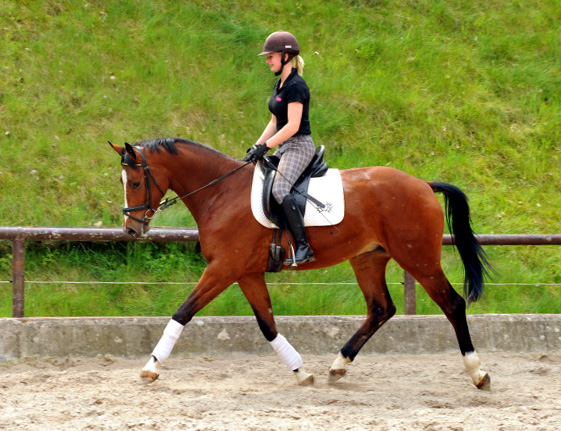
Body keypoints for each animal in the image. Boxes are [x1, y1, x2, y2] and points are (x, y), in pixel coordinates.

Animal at [108, 138, 490, 392]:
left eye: (137, 182)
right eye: (123, 182)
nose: (131, 229)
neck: (220, 192)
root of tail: (423, 184)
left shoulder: (223, 268)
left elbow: (182, 313)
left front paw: (150, 367)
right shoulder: (246, 273)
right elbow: (267, 325)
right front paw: (301, 372)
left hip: (418, 259)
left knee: (452, 304)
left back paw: (477, 373)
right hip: (368, 259)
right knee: (381, 309)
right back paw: (338, 367)